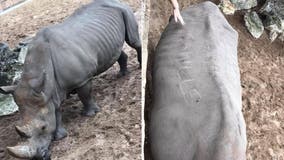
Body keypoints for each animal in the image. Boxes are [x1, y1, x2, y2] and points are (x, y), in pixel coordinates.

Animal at [0, 0, 141, 159]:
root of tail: (117, 1)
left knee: (133, 41)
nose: (40, 156)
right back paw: (122, 74)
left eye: (43, 127)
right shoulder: (46, 92)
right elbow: (56, 112)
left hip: (124, 10)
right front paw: (59, 136)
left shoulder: (81, 79)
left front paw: (90, 114)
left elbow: (85, 95)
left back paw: (139, 66)